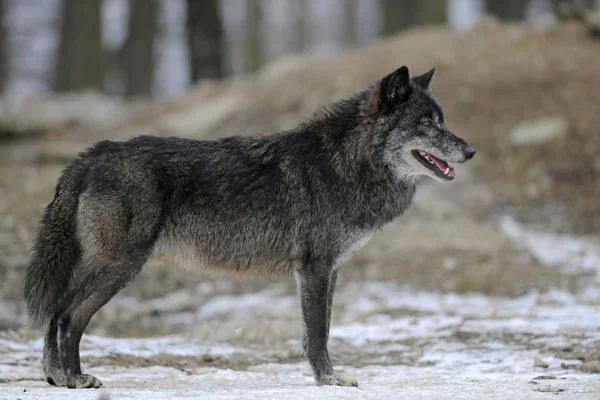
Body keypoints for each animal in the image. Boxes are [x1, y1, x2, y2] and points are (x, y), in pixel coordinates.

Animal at [23, 65, 476, 388]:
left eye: (441, 120)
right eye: (425, 124)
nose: (471, 151)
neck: (345, 163)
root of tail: (92, 155)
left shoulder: (329, 270)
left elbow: (323, 327)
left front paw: (328, 375)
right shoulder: (314, 268)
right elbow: (317, 331)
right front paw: (327, 379)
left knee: (57, 311)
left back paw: (55, 377)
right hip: (120, 267)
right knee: (69, 315)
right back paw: (75, 378)